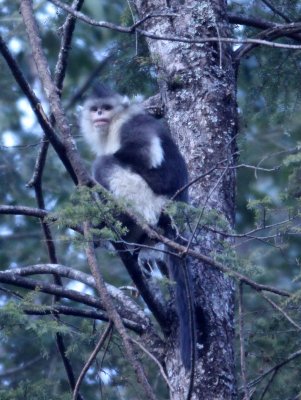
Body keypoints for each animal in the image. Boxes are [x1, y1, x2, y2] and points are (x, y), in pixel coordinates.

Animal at [80, 83, 192, 370]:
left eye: (106, 108)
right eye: (95, 109)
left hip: (144, 200)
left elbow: (142, 152)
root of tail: (169, 213)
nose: (99, 114)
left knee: (106, 163)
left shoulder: (131, 125)